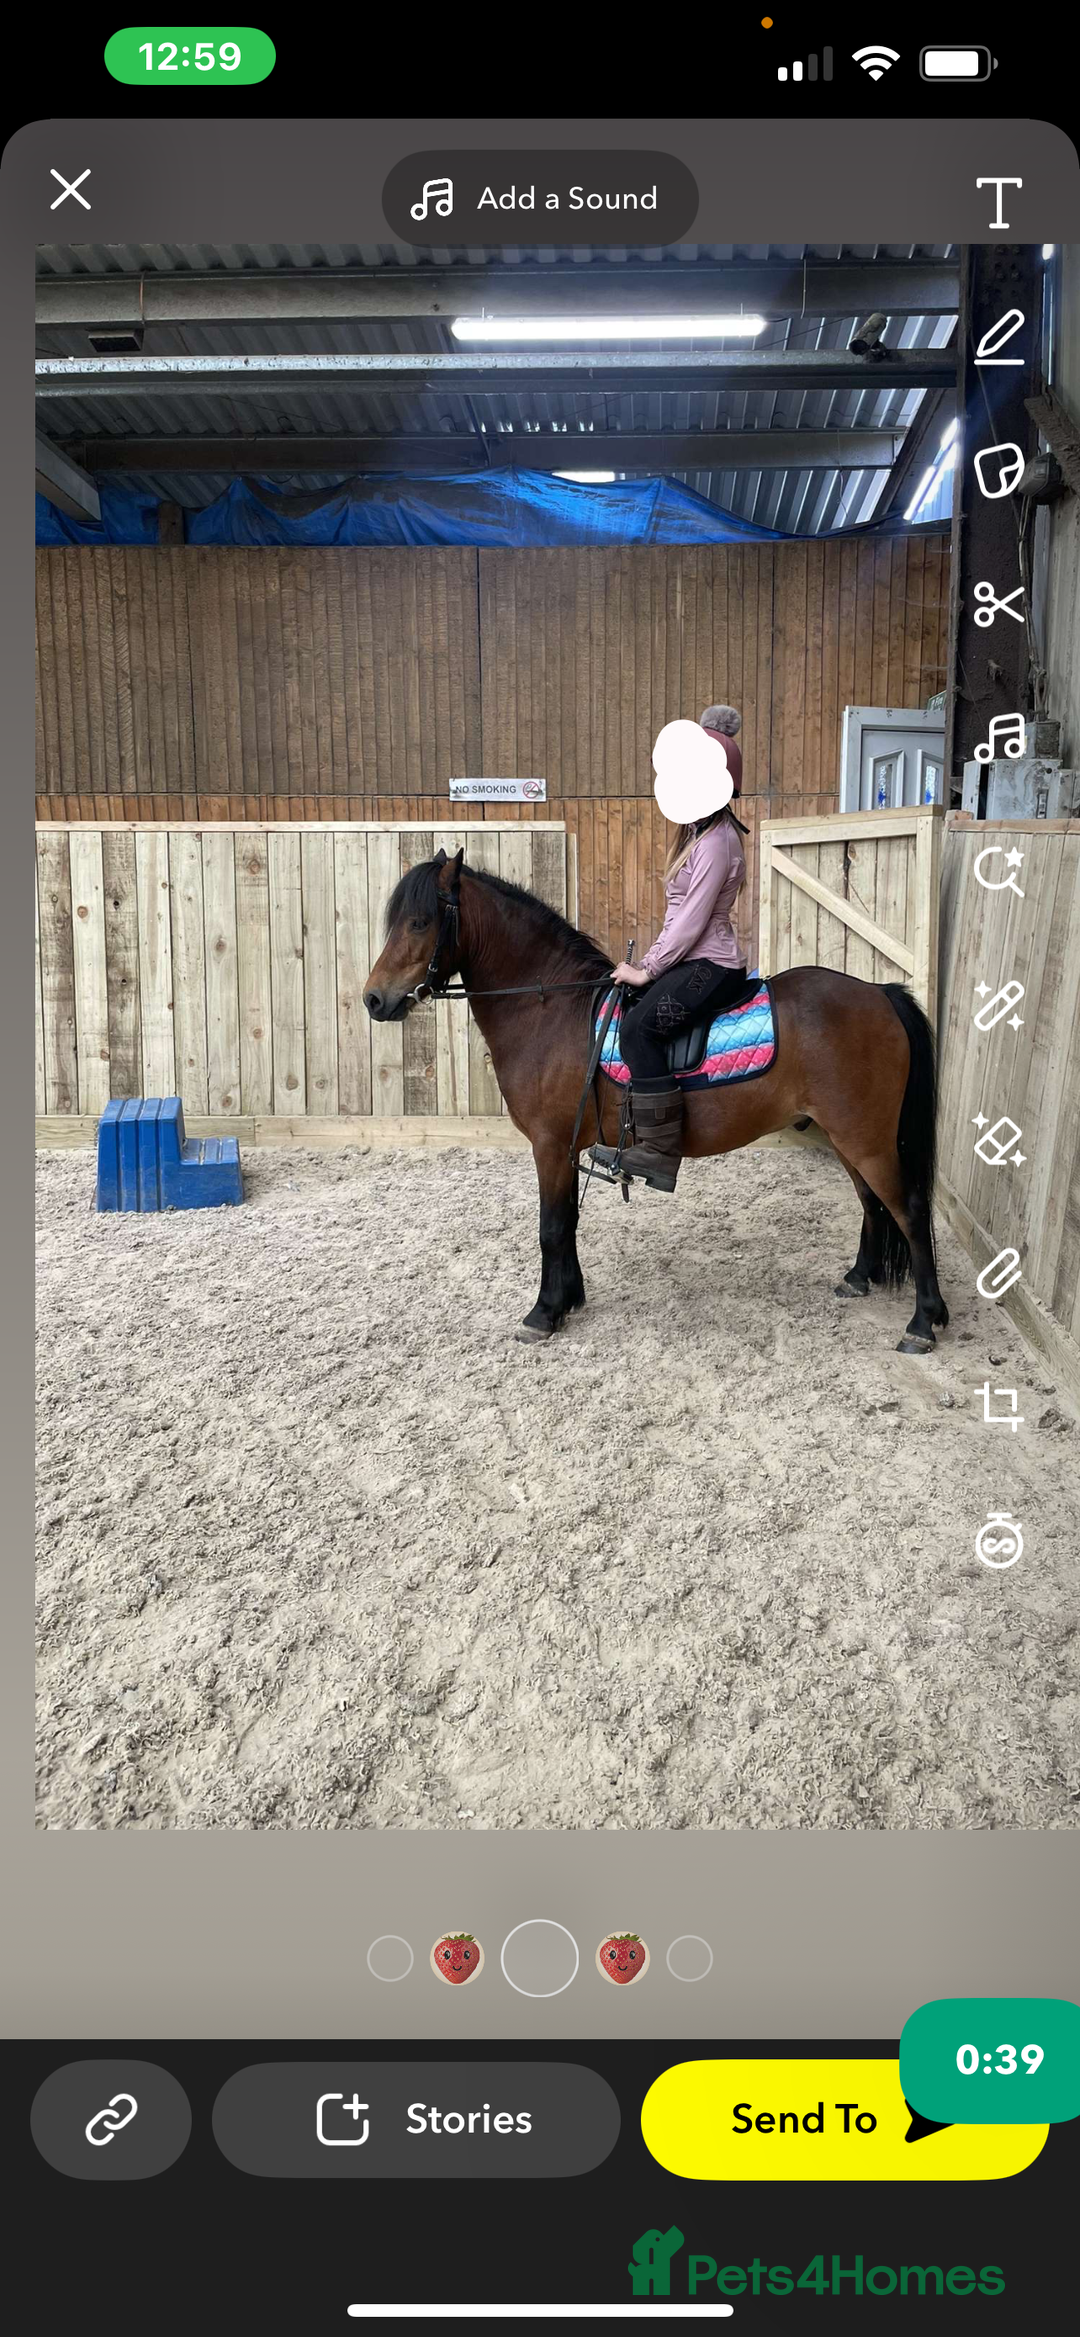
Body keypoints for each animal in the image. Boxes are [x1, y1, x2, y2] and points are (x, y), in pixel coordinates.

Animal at [363, 847, 948, 1357]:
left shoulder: (550, 1145)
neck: (552, 1010)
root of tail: (879, 993)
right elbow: (568, 1224)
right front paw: (570, 1299)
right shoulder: (566, 1146)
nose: (373, 999)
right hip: (848, 1136)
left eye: (420, 923)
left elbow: (551, 1228)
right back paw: (859, 1278)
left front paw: (544, 1313)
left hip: (865, 1138)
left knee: (910, 1210)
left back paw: (924, 1322)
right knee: (871, 1203)